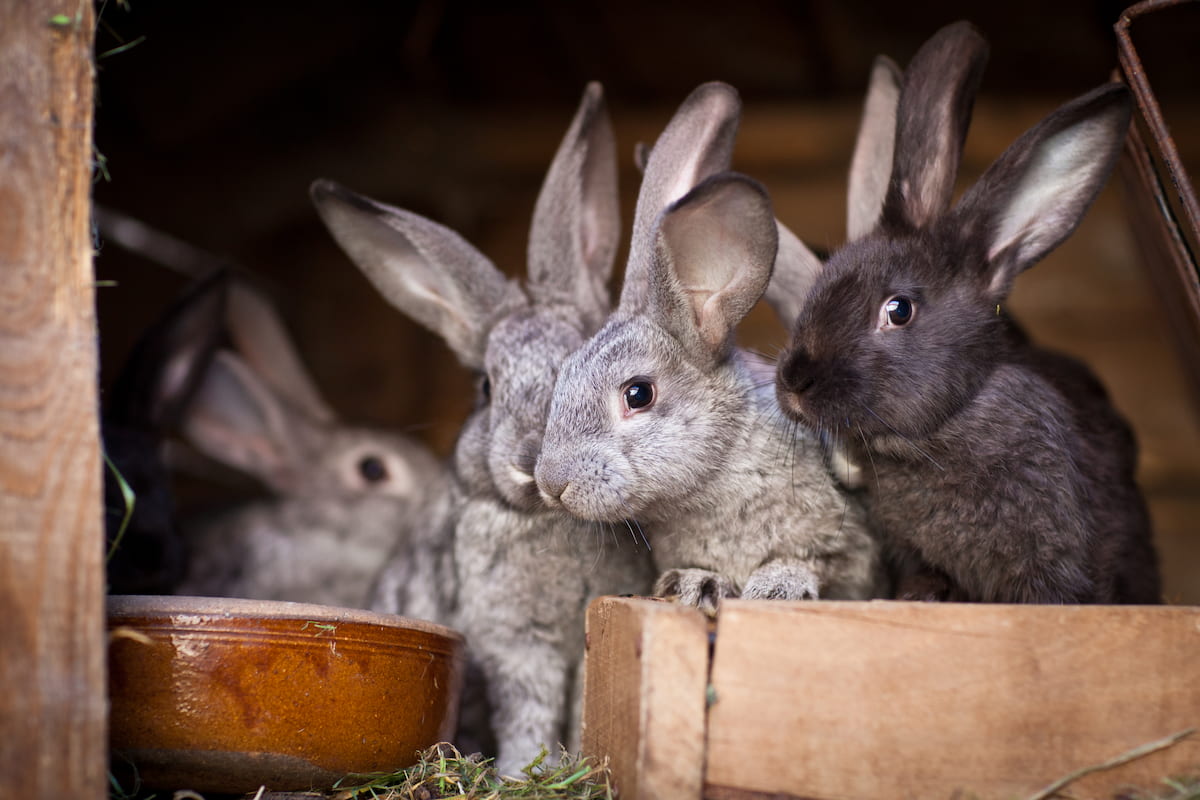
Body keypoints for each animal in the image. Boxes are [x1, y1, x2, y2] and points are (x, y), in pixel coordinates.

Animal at [310, 82, 656, 775]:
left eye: (581, 362)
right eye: (486, 389)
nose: (531, 463)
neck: (549, 521)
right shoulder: (515, 645)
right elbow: (527, 711)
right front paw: (527, 770)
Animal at [533, 82, 885, 612]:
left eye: (638, 394)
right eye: (565, 373)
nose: (552, 483)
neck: (716, 476)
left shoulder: (848, 548)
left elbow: (813, 561)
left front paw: (776, 586)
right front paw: (693, 584)